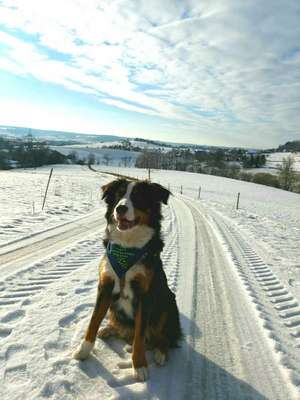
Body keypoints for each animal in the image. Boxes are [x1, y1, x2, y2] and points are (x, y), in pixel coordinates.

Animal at [73, 178, 182, 382]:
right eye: (118, 195)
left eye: (138, 197)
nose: (120, 208)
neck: (127, 246)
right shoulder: (105, 286)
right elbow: (93, 322)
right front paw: (83, 351)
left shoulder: (145, 294)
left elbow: (139, 336)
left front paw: (139, 366)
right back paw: (108, 329)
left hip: (168, 302)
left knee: (164, 338)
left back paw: (160, 354)